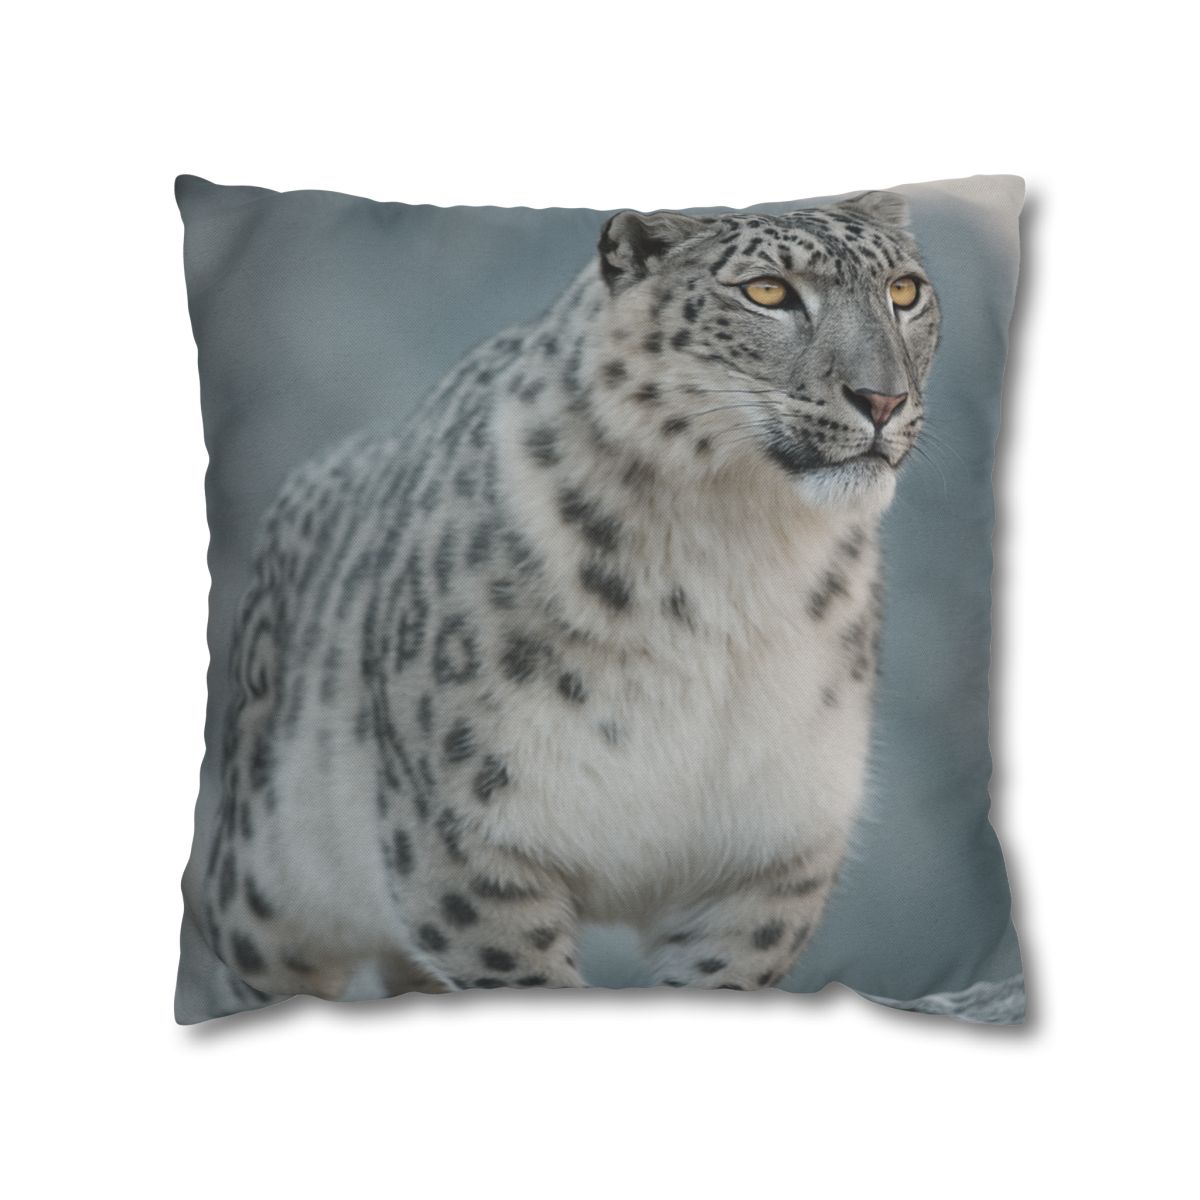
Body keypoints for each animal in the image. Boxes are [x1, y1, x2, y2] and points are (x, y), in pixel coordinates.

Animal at [197, 190, 941, 1003]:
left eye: (905, 290)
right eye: (768, 291)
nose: (882, 398)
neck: (739, 556)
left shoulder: (771, 854)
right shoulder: (468, 838)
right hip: (269, 883)